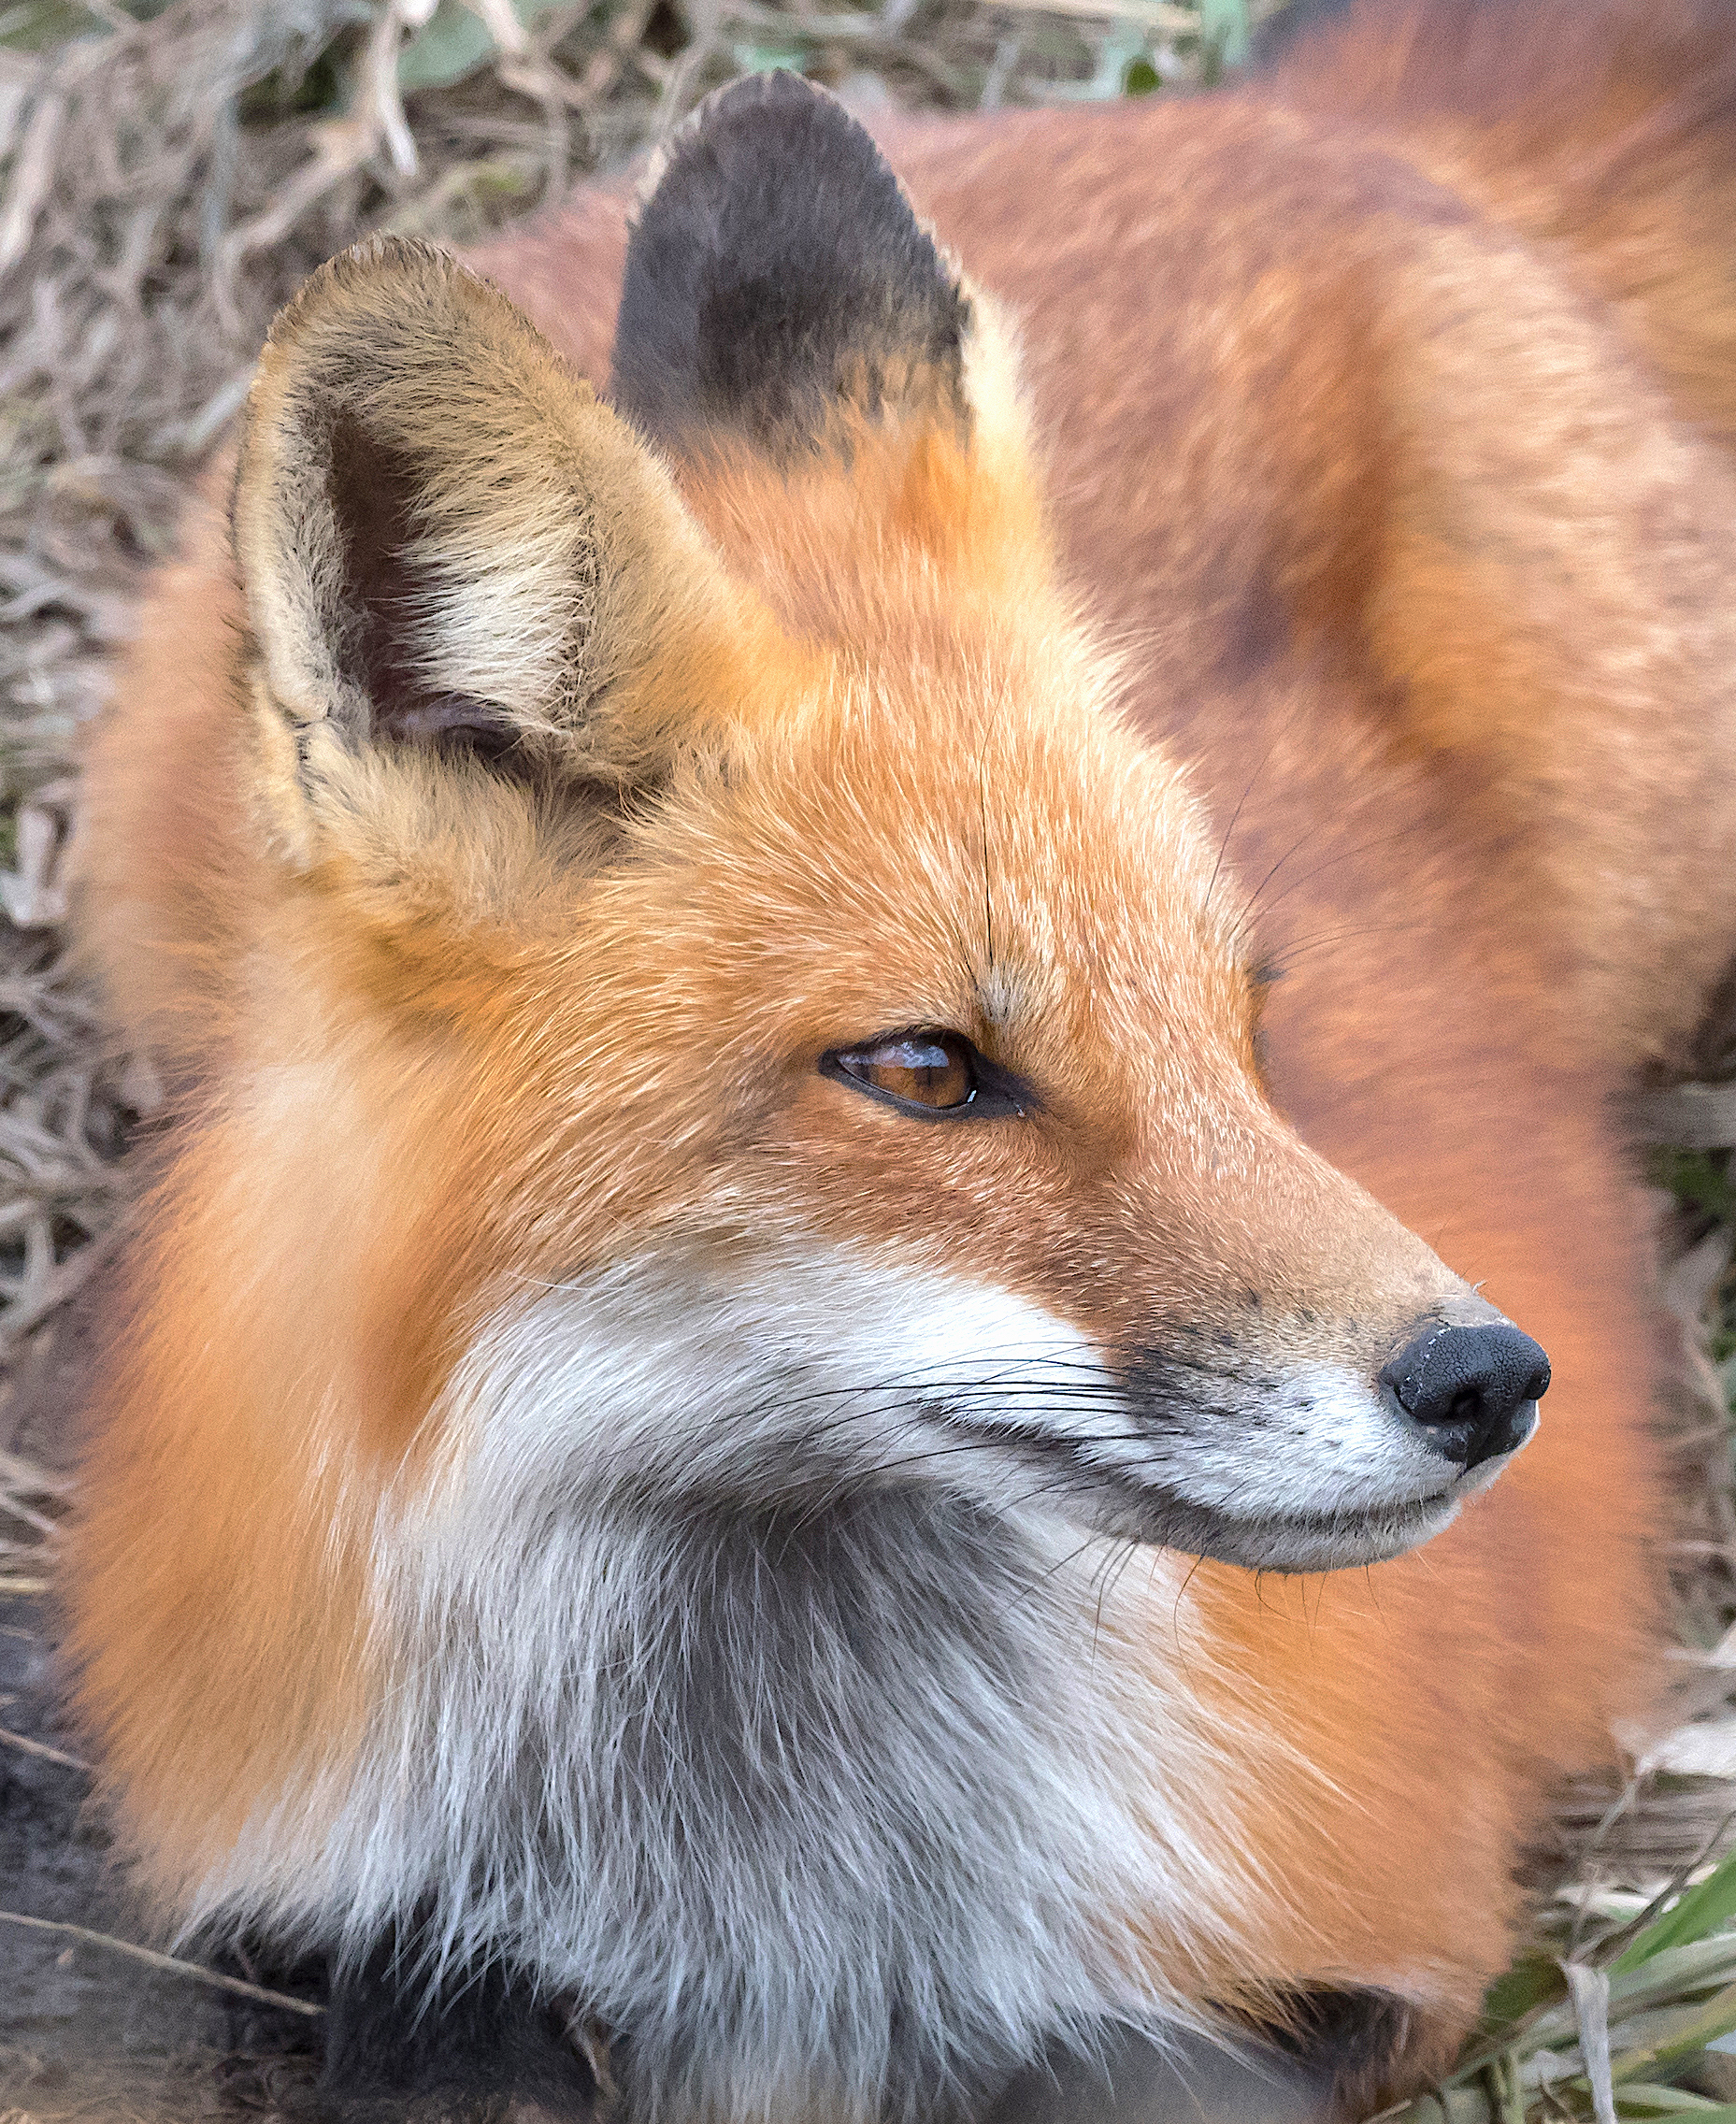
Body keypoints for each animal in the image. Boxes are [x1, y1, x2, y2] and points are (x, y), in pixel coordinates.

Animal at [62, 0, 1736, 2118]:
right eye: (929, 1069)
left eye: (1245, 1013)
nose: (1490, 1379)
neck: (789, 1873)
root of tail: (1295, 127)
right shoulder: (359, 1928)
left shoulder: (1327, 1971)